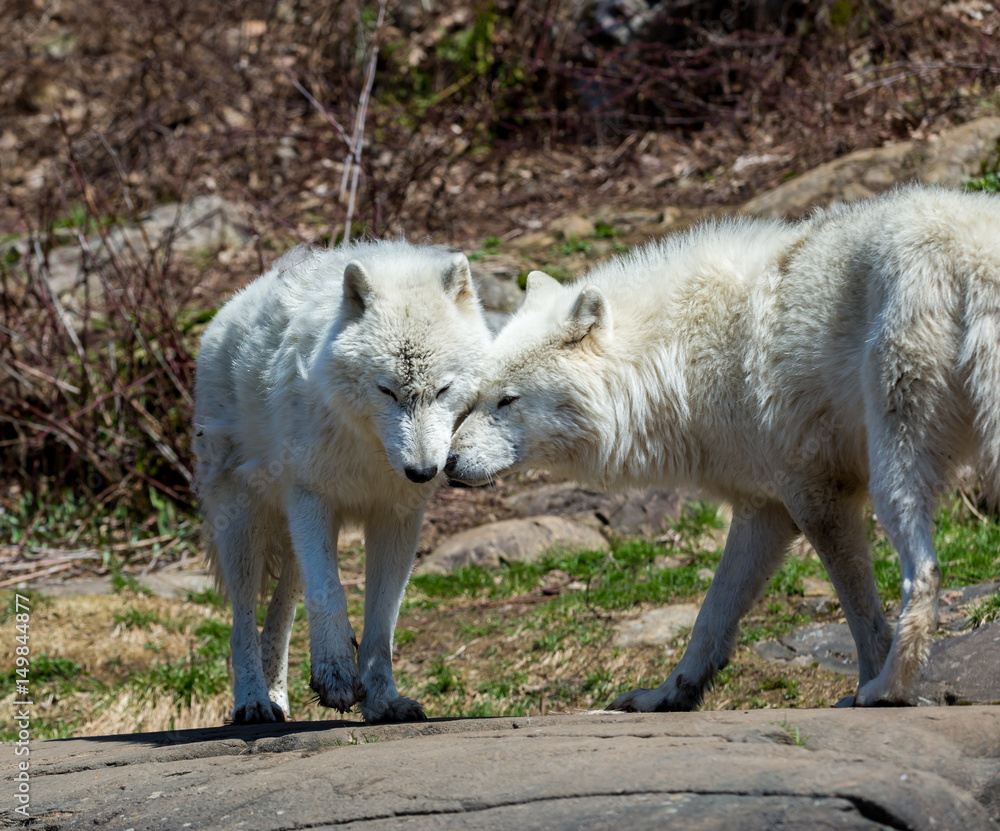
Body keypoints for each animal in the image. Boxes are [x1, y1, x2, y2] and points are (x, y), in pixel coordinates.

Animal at [194, 240, 491, 724]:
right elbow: (330, 592)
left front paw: (383, 699)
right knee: (242, 620)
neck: (372, 454)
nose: (422, 472)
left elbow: (382, 619)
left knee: (280, 614)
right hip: (245, 528)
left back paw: (278, 696)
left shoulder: (397, 517)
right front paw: (334, 674)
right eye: (386, 390)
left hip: (291, 541)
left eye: (443, 390)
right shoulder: (310, 499)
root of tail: (226, 311)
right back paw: (254, 701)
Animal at [446, 186, 1000, 710]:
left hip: (894, 469)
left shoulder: (817, 497)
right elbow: (711, 617)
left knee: (924, 574)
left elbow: (860, 612)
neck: (681, 355)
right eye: (473, 398)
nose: (447, 462)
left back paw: (887, 689)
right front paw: (669, 695)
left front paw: (870, 684)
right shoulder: (765, 509)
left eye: (507, 400)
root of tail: (975, 256)